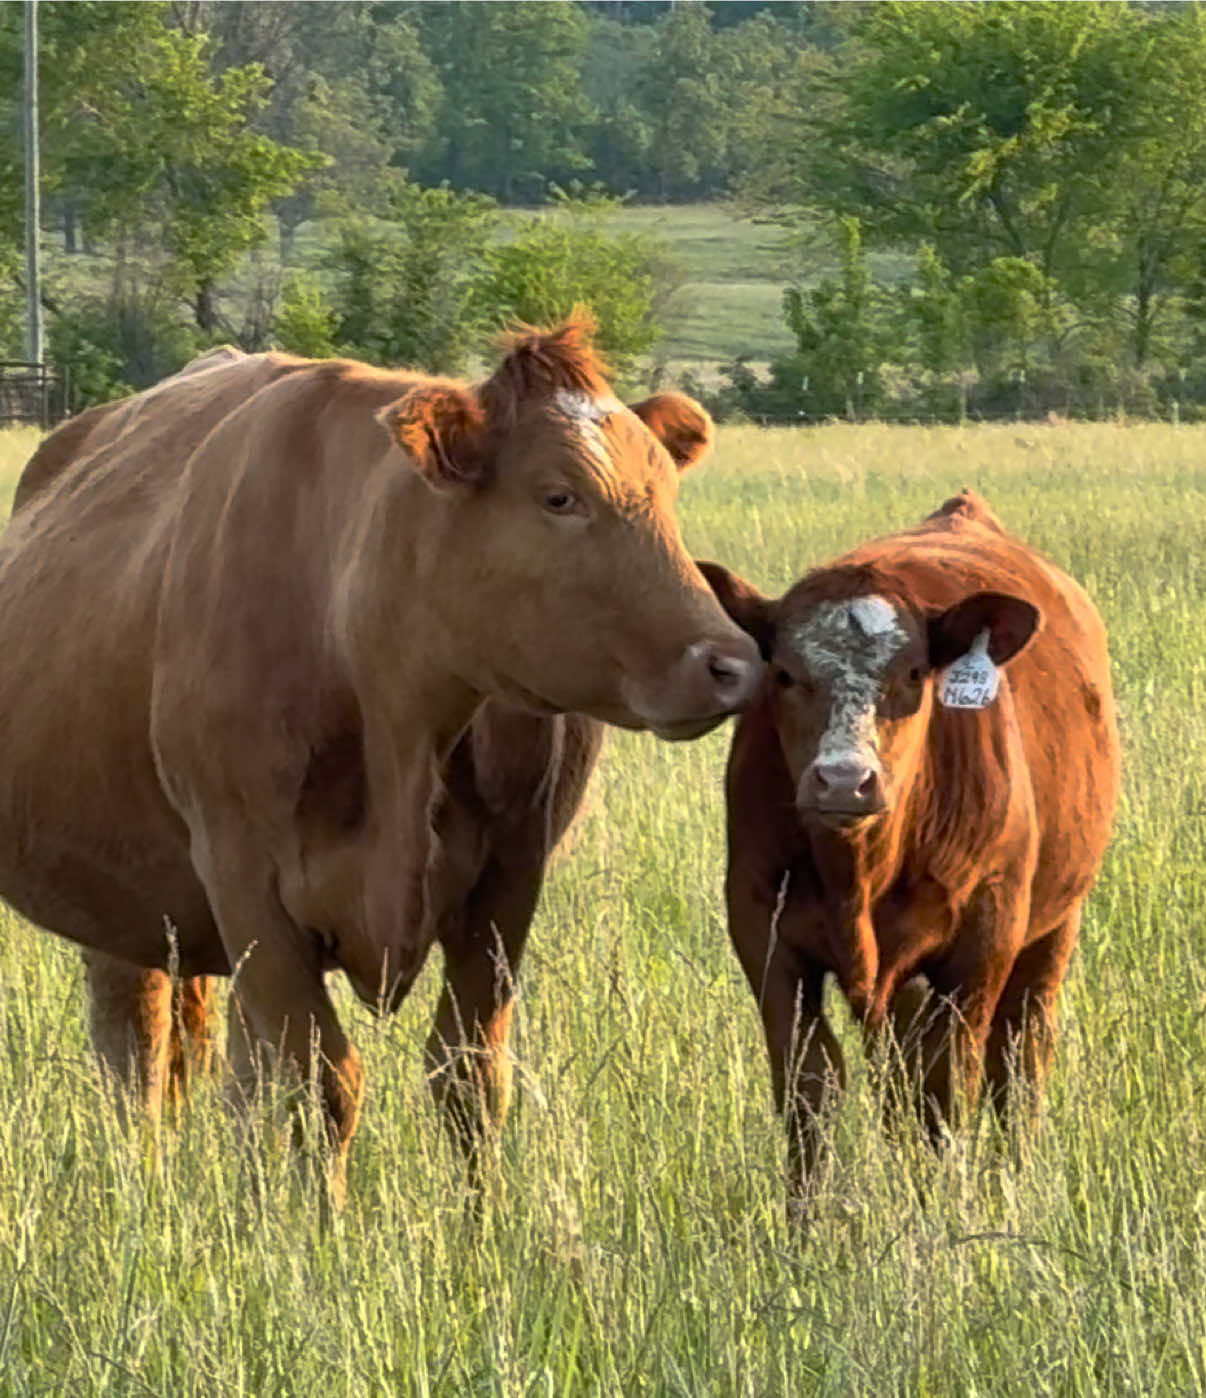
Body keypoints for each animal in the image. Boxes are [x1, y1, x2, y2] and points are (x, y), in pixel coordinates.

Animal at [0, 320, 761, 1191]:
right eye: (559, 496)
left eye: (666, 494)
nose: (730, 662)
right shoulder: (244, 878)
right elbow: (320, 1081)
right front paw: (320, 1222)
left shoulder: (508, 877)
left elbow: (467, 1074)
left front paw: (480, 1214)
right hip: (123, 902)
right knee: (138, 1050)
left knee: (227, 1074)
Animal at [702, 490, 1119, 1198]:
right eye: (783, 674)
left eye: (916, 673)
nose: (845, 778)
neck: (858, 874)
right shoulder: (764, 933)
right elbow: (809, 1084)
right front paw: (806, 1219)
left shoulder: (983, 939)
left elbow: (949, 1086)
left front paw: (946, 1206)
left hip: (1052, 930)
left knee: (1020, 1057)